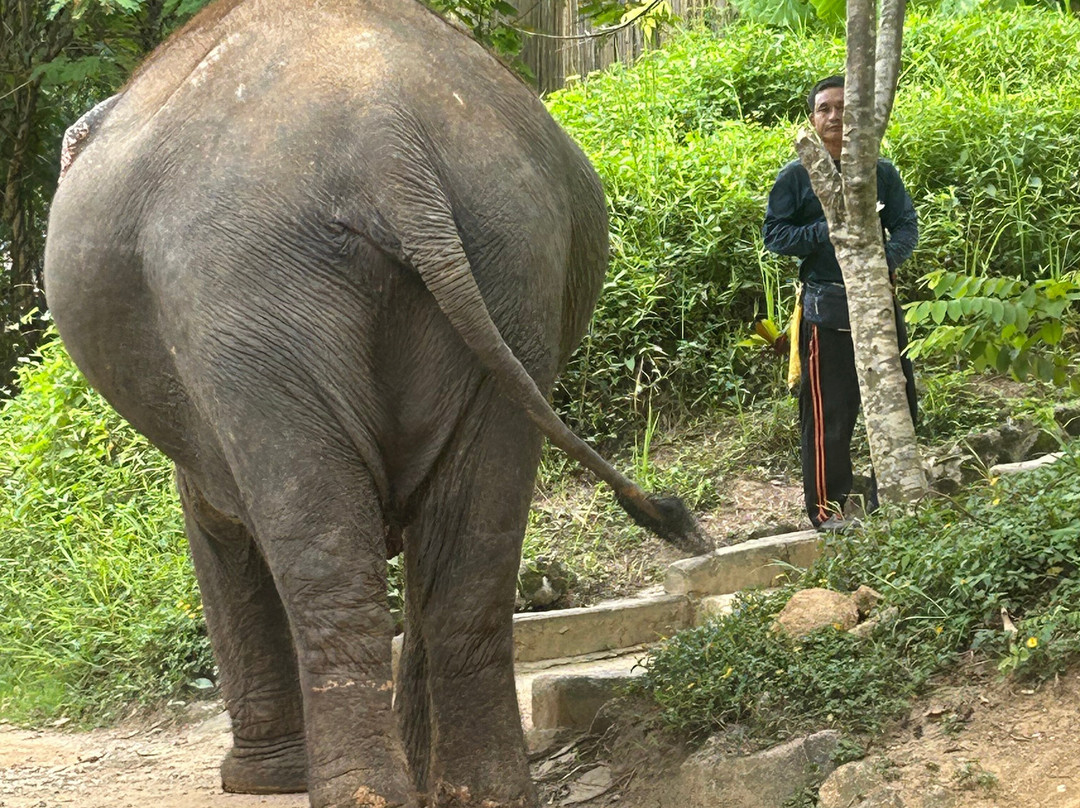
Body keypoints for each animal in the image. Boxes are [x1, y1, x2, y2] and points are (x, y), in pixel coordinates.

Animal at [44, 1, 708, 806]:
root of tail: (392, 149)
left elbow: (218, 525)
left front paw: (256, 781)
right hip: (512, 262)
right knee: (470, 548)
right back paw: (480, 792)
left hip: (243, 292)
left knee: (324, 553)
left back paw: (358, 791)